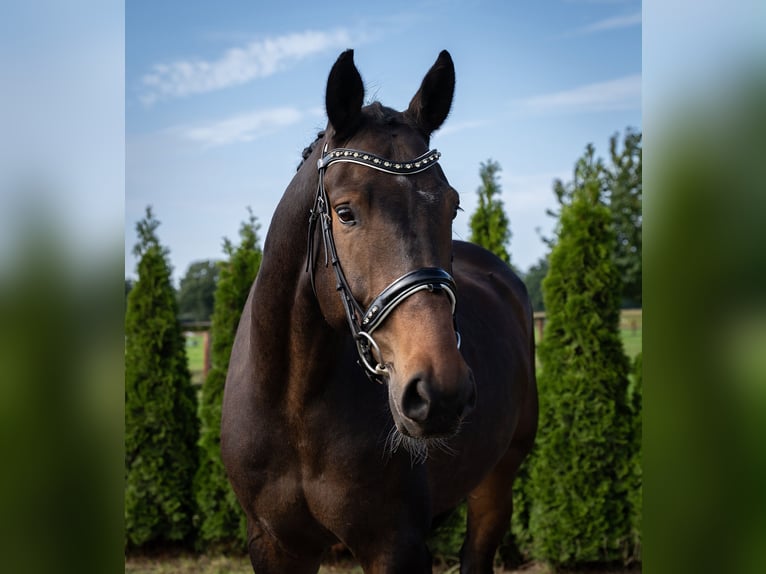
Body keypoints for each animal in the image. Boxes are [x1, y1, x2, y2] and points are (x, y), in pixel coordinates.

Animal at [221, 49, 538, 574]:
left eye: (452, 207)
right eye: (345, 212)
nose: (440, 392)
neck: (294, 403)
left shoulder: (395, 545)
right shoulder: (274, 544)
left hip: (497, 480)